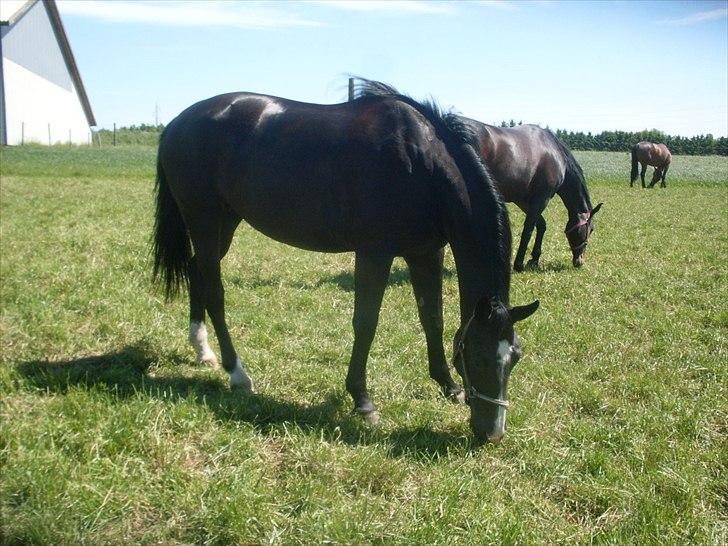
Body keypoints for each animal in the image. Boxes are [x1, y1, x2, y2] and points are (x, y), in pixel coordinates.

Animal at [152, 81, 540, 440]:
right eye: (479, 356)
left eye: (515, 356)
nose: (492, 433)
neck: (421, 165)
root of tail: (175, 124)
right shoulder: (374, 253)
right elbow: (366, 324)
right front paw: (363, 401)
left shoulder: (426, 253)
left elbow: (433, 320)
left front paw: (448, 386)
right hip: (203, 218)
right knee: (215, 291)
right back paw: (237, 374)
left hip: (225, 222)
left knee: (196, 272)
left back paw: (202, 351)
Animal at [460, 120, 604, 270]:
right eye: (591, 229)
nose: (579, 261)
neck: (555, 153)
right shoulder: (541, 199)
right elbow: (528, 229)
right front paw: (519, 264)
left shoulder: (524, 201)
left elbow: (541, 225)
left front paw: (534, 258)